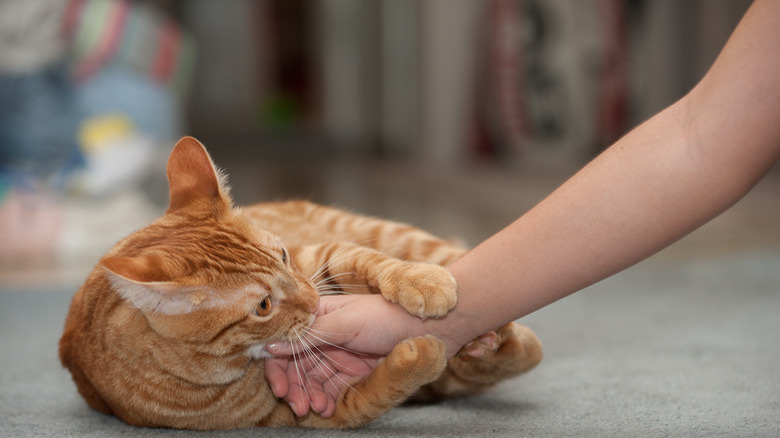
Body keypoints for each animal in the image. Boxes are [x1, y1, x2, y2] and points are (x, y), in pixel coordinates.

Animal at [59, 138, 544, 432]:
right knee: (508, 358)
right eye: (263, 306)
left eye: (284, 256)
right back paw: (482, 342)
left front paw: (418, 281)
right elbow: (386, 386)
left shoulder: (321, 259)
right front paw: (420, 353)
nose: (312, 304)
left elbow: (368, 261)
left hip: (394, 234)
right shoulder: (317, 413)